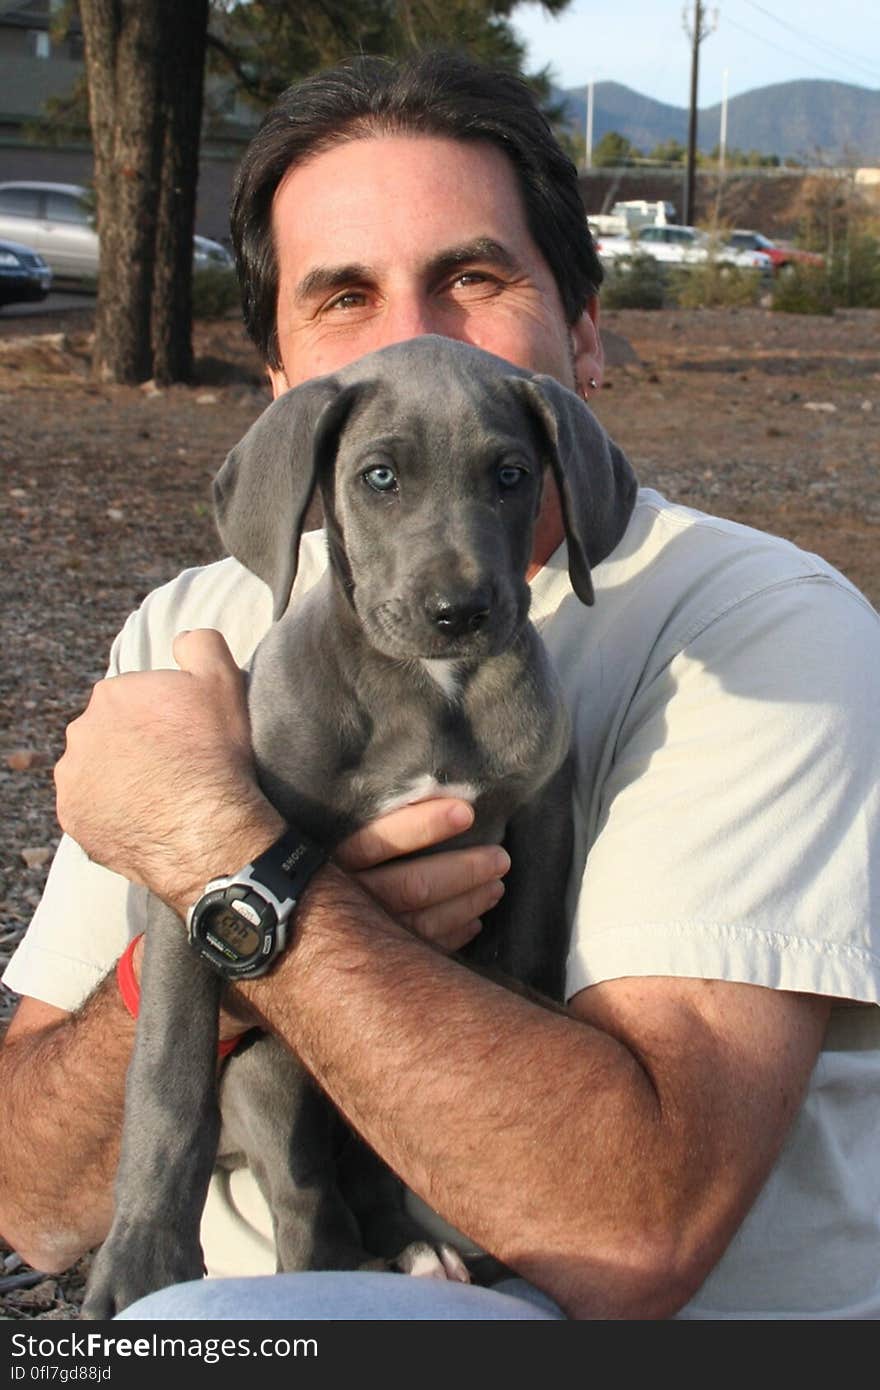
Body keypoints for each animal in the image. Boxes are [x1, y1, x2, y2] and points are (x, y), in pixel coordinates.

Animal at [82, 333, 633, 1312]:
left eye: (511, 474)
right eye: (380, 477)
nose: (460, 612)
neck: (434, 689)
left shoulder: (538, 813)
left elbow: (528, 950)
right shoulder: (198, 866)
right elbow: (169, 1069)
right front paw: (142, 1255)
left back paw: (417, 1250)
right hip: (271, 1072)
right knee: (308, 1211)